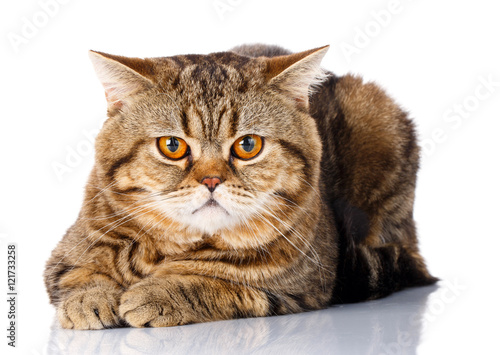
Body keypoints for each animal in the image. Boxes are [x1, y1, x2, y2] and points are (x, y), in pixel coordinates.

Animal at [43, 44, 436, 330]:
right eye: (172, 146)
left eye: (248, 145)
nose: (211, 180)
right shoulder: (65, 255)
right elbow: (81, 274)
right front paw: (89, 299)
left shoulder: (302, 286)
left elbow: (217, 284)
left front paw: (161, 292)